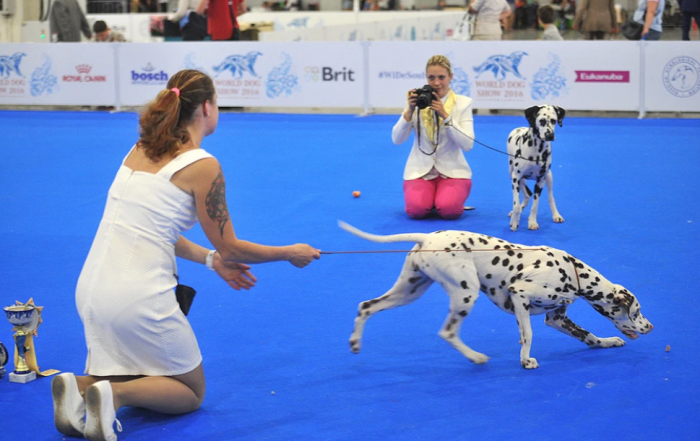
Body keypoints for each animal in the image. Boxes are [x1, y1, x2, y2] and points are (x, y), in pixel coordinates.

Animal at [342, 220, 652, 368]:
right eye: (636, 311)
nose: (650, 326)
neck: (571, 272)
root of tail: (427, 236)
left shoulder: (557, 318)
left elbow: (587, 335)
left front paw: (606, 342)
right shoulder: (520, 295)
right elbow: (528, 335)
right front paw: (526, 360)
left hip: (409, 291)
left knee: (366, 306)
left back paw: (355, 342)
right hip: (466, 293)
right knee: (448, 332)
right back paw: (476, 358)